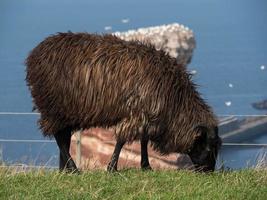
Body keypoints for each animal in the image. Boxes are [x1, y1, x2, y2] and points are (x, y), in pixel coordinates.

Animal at [25, 32, 222, 173]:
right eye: (209, 147)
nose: (209, 172)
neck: (175, 101)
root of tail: (34, 54)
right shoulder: (137, 113)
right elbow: (121, 140)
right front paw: (112, 168)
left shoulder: (147, 114)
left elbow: (143, 140)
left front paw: (146, 166)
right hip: (53, 107)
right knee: (59, 137)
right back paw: (73, 169)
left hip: (66, 111)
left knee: (63, 137)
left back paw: (64, 169)